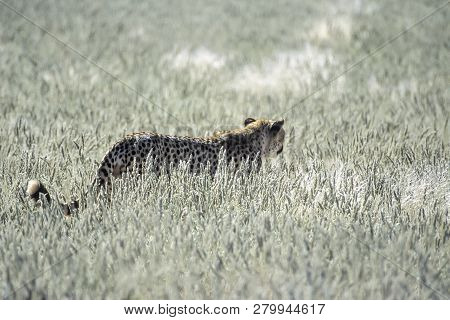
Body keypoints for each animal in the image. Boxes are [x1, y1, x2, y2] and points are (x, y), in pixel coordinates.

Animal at [28, 116, 284, 214]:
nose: (283, 148)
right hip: (140, 179)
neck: (253, 136)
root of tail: (125, 139)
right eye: (283, 136)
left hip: (114, 182)